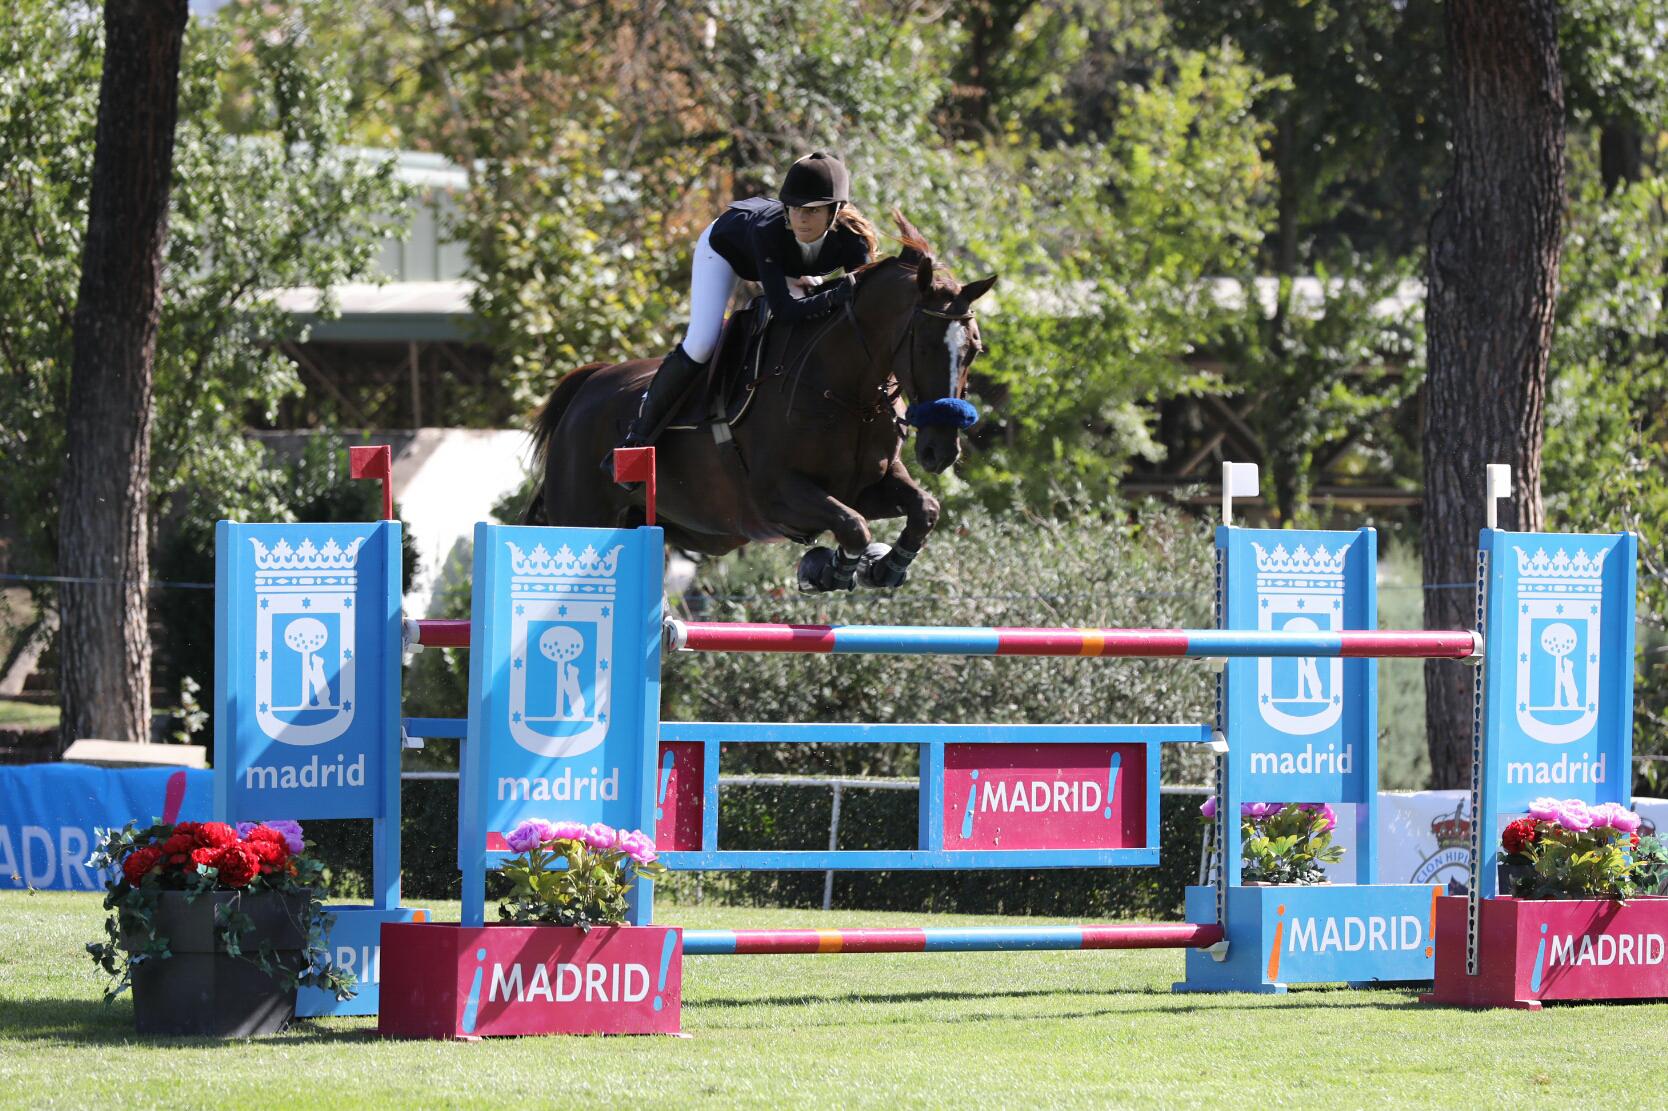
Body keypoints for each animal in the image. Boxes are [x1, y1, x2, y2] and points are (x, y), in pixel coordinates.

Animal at [523, 206, 987, 587]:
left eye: (974, 351)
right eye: (924, 346)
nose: (940, 451)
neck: (846, 393)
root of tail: (590, 383)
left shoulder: (868, 486)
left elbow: (924, 508)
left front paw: (885, 568)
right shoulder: (778, 494)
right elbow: (853, 526)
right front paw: (827, 571)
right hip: (583, 516)